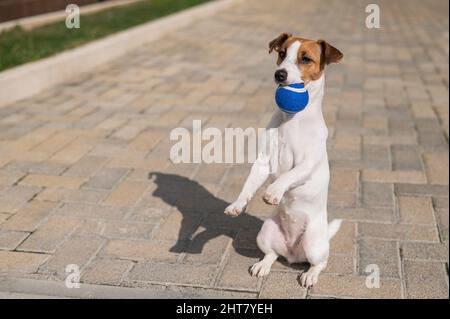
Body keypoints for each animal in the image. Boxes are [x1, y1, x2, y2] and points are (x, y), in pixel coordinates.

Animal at [225, 33, 344, 288]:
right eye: (281, 54)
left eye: (306, 58)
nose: (279, 74)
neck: (292, 119)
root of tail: (293, 253)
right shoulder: (262, 161)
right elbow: (248, 184)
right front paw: (237, 205)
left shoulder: (307, 164)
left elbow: (290, 174)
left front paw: (273, 192)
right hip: (265, 232)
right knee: (272, 254)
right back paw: (263, 265)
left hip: (314, 244)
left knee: (320, 263)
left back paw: (310, 275)